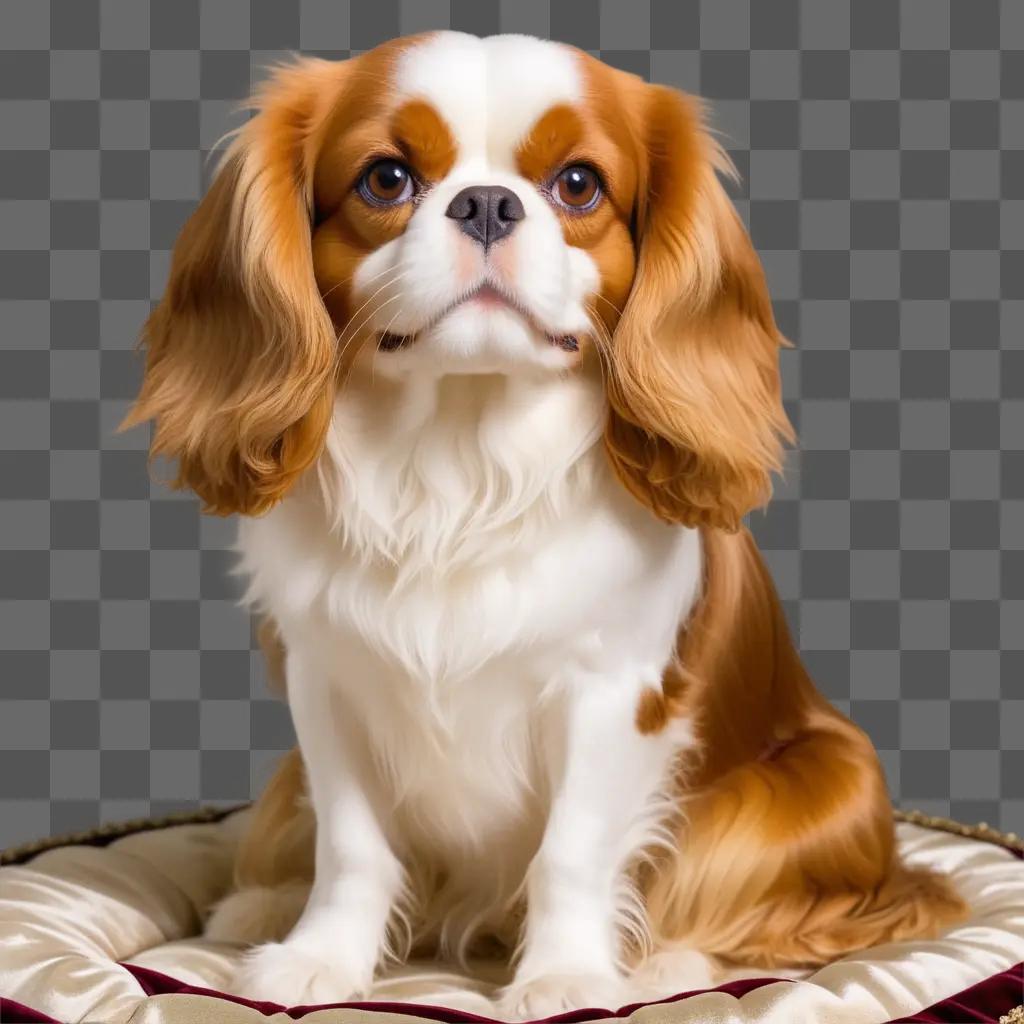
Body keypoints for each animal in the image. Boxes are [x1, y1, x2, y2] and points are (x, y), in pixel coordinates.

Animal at [123, 29, 962, 1015]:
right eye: (386, 179)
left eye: (577, 185)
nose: (488, 203)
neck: (459, 454)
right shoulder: (325, 685)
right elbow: (351, 846)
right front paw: (321, 960)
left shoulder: (610, 695)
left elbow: (573, 854)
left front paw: (567, 978)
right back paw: (257, 906)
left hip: (826, 780)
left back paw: (670, 962)